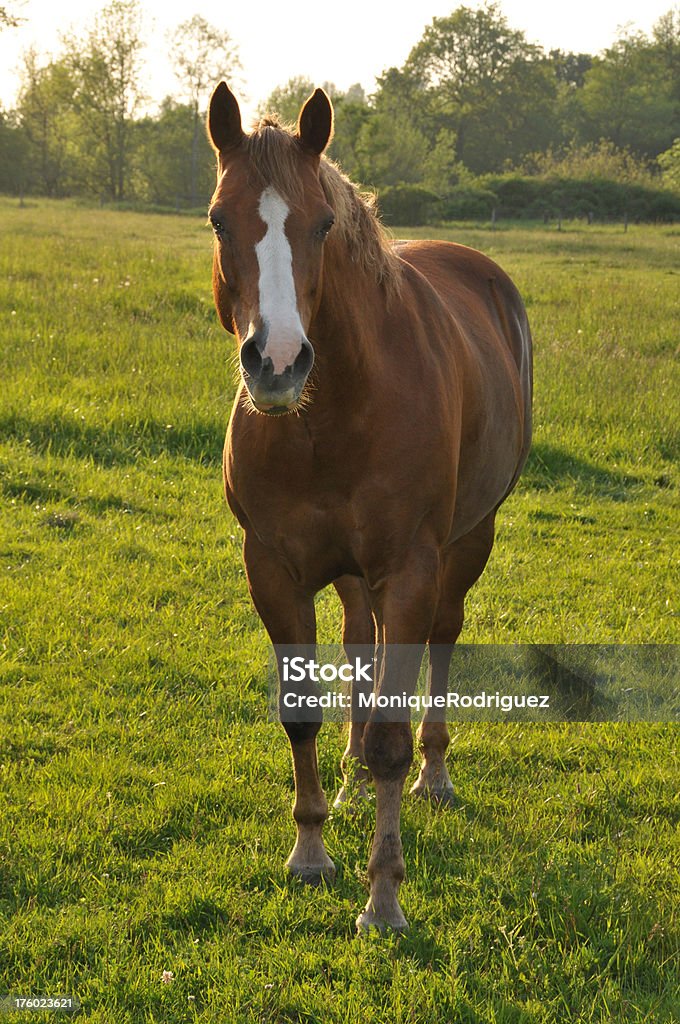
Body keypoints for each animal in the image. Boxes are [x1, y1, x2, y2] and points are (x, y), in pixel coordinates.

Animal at [204, 83, 532, 933]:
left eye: (322, 223)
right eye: (219, 220)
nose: (277, 363)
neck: (337, 410)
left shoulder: (411, 567)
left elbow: (391, 730)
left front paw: (383, 896)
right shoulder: (274, 570)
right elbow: (302, 712)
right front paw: (311, 851)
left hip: (465, 545)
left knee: (438, 645)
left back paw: (433, 775)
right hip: (354, 575)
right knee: (361, 641)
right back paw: (350, 780)